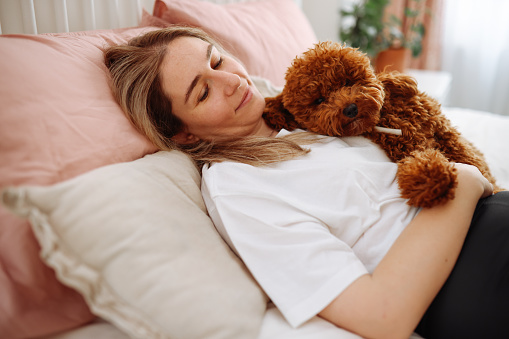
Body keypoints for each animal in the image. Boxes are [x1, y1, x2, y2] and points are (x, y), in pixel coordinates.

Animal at [264, 41, 502, 209]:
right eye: (320, 100)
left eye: (348, 82)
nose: (350, 109)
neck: (387, 117)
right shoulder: (407, 147)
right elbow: (422, 158)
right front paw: (431, 181)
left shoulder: (444, 132)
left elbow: (470, 158)